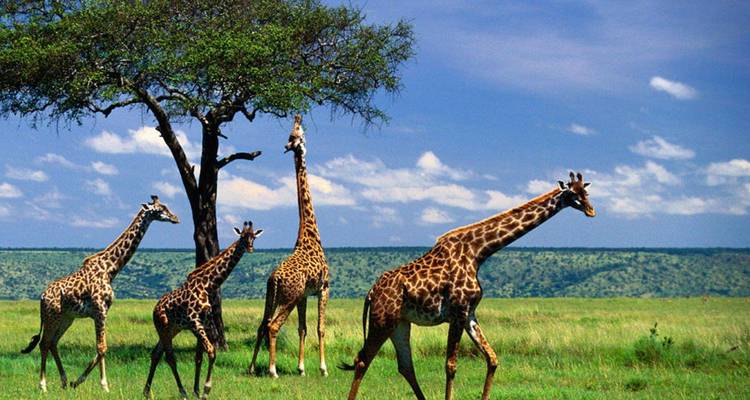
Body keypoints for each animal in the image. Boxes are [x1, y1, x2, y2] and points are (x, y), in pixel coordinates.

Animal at [21, 195, 179, 393]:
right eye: (161, 209)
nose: (175, 218)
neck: (110, 269)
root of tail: (42, 297)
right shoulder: (99, 309)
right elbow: (102, 347)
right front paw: (104, 385)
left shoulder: (103, 311)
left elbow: (102, 348)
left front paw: (77, 381)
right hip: (52, 316)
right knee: (44, 343)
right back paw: (43, 386)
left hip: (66, 318)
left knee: (53, 343)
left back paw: (64, 381)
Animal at [143, 221, 263, 400]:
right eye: (242, 236)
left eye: (253, 237)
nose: (250, 247)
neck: (208, 285)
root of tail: (154, 309)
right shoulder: (194, 320)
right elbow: (211, 350)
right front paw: (206, 390)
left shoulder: (205, 321)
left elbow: (200, 356)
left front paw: (197, 390)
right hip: (161, 327)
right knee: (169, 356)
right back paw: (182, 391)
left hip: (172, 329)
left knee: (156, 353)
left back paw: (146, 391)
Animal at [248, 114, 330, 378]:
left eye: (294, 135)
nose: (287, 146)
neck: (310, 234)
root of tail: (274, 278)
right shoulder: (324, 288)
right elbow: (320, 327)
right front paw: (323, 369)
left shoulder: (304, 294)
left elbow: (302, 328)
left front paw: (301, 368)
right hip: (288, 298)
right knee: (273, 326)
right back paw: (272, 370)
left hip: (272, 296)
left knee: (262, 324)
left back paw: (252, 367)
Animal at [341, 172, 596, 400]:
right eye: (572, 193)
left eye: (587, 192)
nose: (591, 211)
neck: (478, 252)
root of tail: (371, 293)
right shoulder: (458, 311)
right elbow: (451, 365)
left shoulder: (469, 313)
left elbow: (492, 359)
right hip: (382, 320)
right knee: (362, 360)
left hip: (400, 323)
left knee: (405, 366)